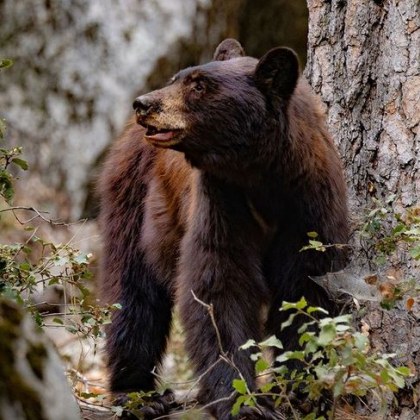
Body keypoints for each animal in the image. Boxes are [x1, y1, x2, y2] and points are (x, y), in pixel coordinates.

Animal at [98, 37, 348, 418]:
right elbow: (219, 284)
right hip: (132, 197)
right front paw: (243, 401)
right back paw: (139, 394)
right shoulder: (221, 200)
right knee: (132, 290)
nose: (143, 104)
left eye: (199, 85)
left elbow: (307, 286)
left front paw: (302, 390)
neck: (261, 176)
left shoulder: (310, 204)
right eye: (177, 77)